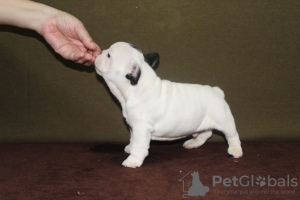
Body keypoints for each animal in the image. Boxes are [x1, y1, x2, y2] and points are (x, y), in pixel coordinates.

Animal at [95, 42, 243, 169]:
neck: (133, 89)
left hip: (223, 120)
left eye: (109, 55)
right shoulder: (133, 126)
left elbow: (139, 145)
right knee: (205, 133)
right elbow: (133, 139)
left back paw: (235, 150)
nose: (100, 52)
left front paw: (133, 160)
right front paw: (130, 148)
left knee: (232, 135)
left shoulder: (141, 127)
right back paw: (193, 143)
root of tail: (216, 91)